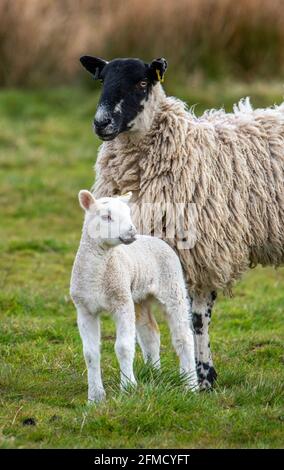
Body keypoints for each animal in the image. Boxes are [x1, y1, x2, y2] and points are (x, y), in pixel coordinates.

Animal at [70, 189, 199, 402]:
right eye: (106, 216)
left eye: (129, 213)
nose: (131, 231)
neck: (96, 277)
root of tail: (154, 238)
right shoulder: (85, 308)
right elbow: (90, 353)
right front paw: (95, 397)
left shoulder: (121, 301)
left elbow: (123, 347)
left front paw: (128, 387)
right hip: (138, 297)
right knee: (150, 333)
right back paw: (155, 374)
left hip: (172, 285)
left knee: (184, 337)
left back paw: (191, 384)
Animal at [79, 55, 284, 390]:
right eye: (102, 80)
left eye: (143, 82)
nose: (102, 123)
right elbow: (145, 325)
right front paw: (153, 374)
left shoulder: (202, 253)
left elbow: (196, 319)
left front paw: (203, 378)